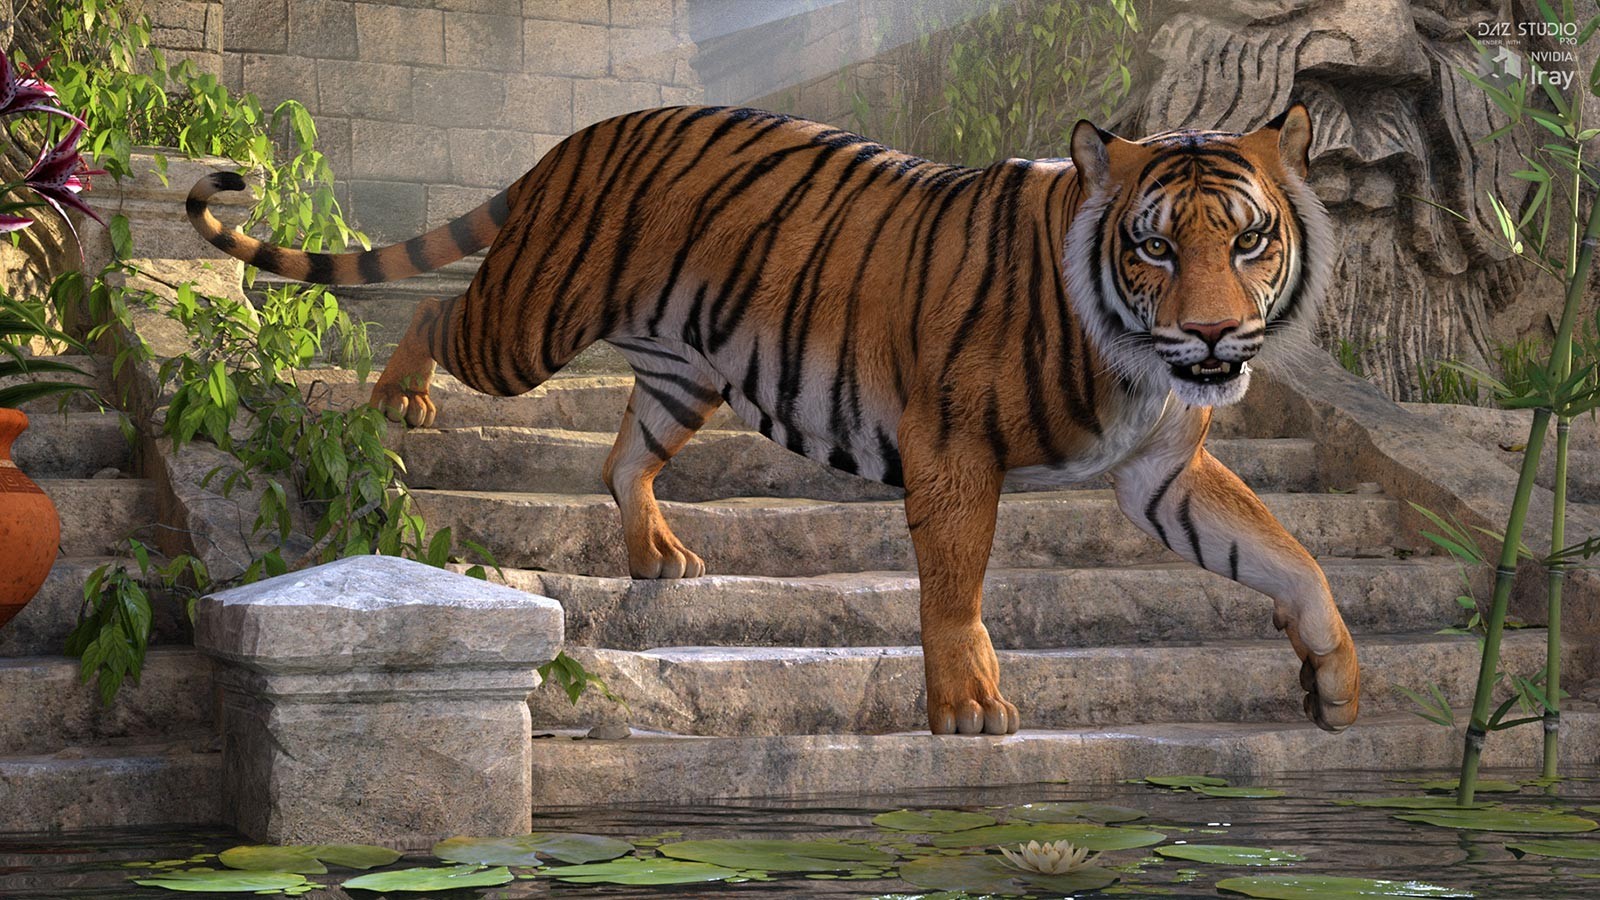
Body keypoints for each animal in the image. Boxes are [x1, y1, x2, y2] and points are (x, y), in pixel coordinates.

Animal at [186, 103, 1360, 736]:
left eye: (1249, 239)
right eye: (1154, 246)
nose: (1213, 335)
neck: (1141, 365)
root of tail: (574, 139)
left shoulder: (1162, 475)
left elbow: (1291, 557)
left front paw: (1337, 681)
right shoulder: (952, 452)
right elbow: (954, 590)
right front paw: (968, 709)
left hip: (683, 373)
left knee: (622, 458)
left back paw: (656, 555)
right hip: (528, 325)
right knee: (438, 310)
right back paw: (400, 395)